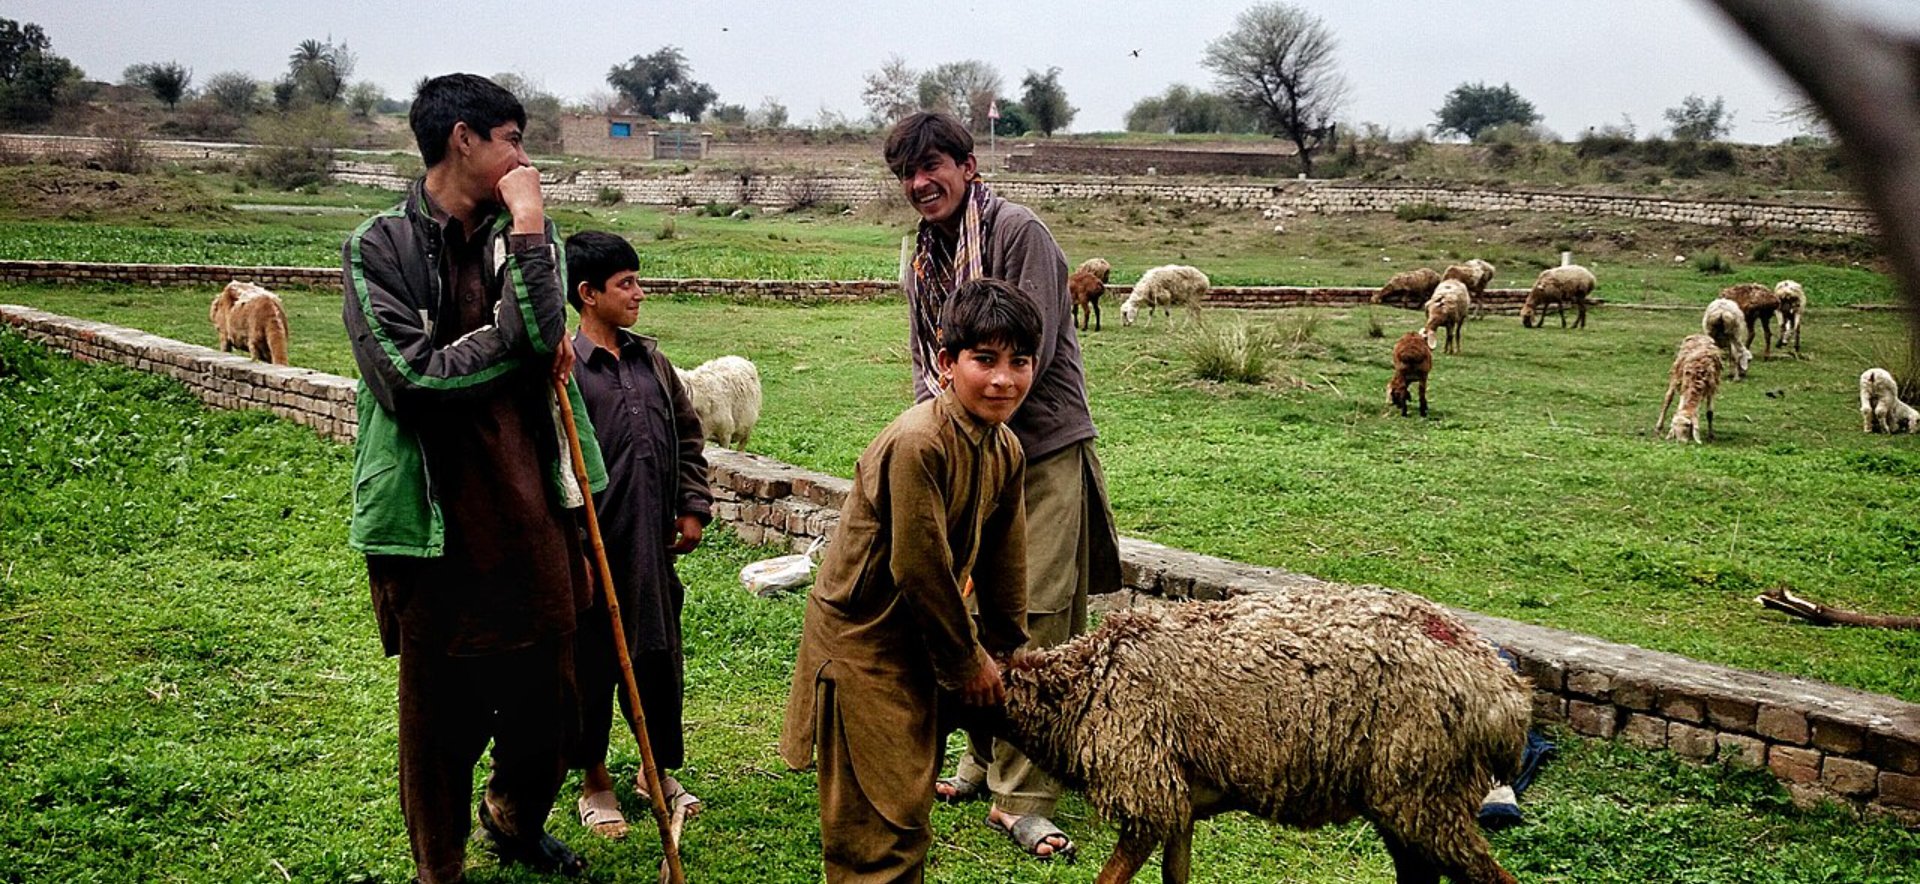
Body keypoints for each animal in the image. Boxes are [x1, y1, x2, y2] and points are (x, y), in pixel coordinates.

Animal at [989, 587, 1529, 884]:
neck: (1078, 687)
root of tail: (1509, 699)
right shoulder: (1181, 805)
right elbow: (1175, 875)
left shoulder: (1148, 790)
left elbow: (1109, 877)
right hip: (1407, 800)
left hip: (1423, 793)